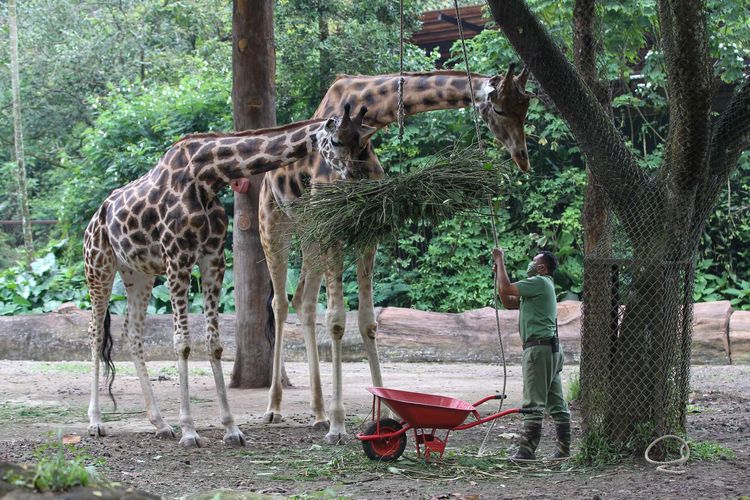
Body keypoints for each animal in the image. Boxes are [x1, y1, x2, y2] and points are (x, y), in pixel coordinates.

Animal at [83, 103, 376, 448]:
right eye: (338, 141)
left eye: (362, 141)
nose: (357, 180)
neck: (207, 176)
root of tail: (96, 218)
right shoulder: (178, 258)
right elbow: (182, 343)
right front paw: (190, 430)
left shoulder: (212, 258)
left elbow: (215, 343)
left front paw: (230, 428)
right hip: (98, 267)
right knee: (95, 333)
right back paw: (96, 422)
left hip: (138, 274)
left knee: (133, 334)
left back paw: (160, 424)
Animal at [262, 64, 532, 444]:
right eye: (499, 108)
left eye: (526, 108)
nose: (522, 159)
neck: (373, 116)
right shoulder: (335, 228)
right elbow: (337, 320)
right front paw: (338, 425)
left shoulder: (366, 231)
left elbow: (367, 320)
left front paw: (387, 410)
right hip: (275, 223)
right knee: (281, 303)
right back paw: (274, 409)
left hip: (311, 235)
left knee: (303, 300)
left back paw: (316, 413)